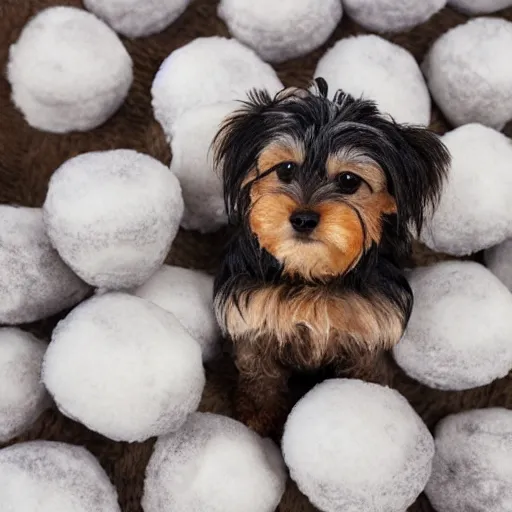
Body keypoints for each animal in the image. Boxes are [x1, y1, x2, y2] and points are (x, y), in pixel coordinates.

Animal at [211, 79, 448, 436]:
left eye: (349, 180)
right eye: (286, 169)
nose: (303, 218)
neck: (312, 272)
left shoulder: (367, 331)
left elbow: (366, 372)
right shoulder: (254, 319)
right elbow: (260, 372)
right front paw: (257, 415)